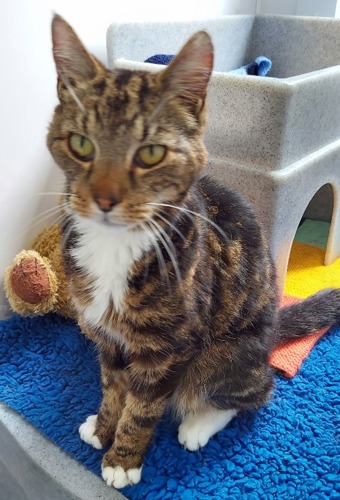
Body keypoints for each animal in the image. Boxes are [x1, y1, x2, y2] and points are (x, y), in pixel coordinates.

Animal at [47, 14, 340, 488]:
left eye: (150, 153)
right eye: (81, 144)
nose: (105, 199)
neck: (116, 246)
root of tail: (271, 329)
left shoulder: (170, 347)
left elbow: (143, 405)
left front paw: (123, 459)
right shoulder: (107, 334)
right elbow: (113, 385)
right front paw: (104, 425)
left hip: (220, 355)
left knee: (253, 391)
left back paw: (198, 424)